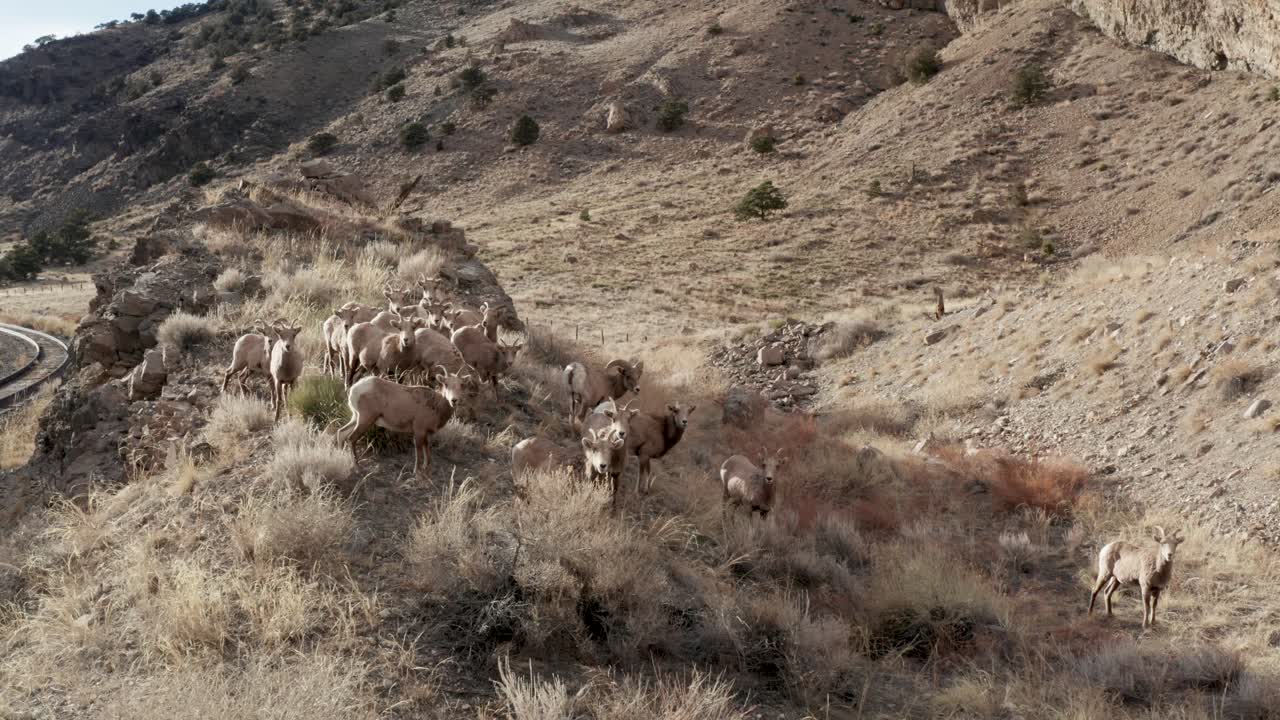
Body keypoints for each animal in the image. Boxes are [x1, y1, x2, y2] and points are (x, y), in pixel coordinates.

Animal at [336, 367, 469, 477]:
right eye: (446, 384)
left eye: (462, 385)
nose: (454, 400)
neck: (436, 405)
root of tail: (355, 389)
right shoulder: (419, 431)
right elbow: (419, 450)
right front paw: (416, 472)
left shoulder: (426, 433)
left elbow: (427, 450)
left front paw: (426, 469)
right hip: (365, 419)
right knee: (351, 438)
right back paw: (357, 468)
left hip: (356, 418)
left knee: (341, 432)